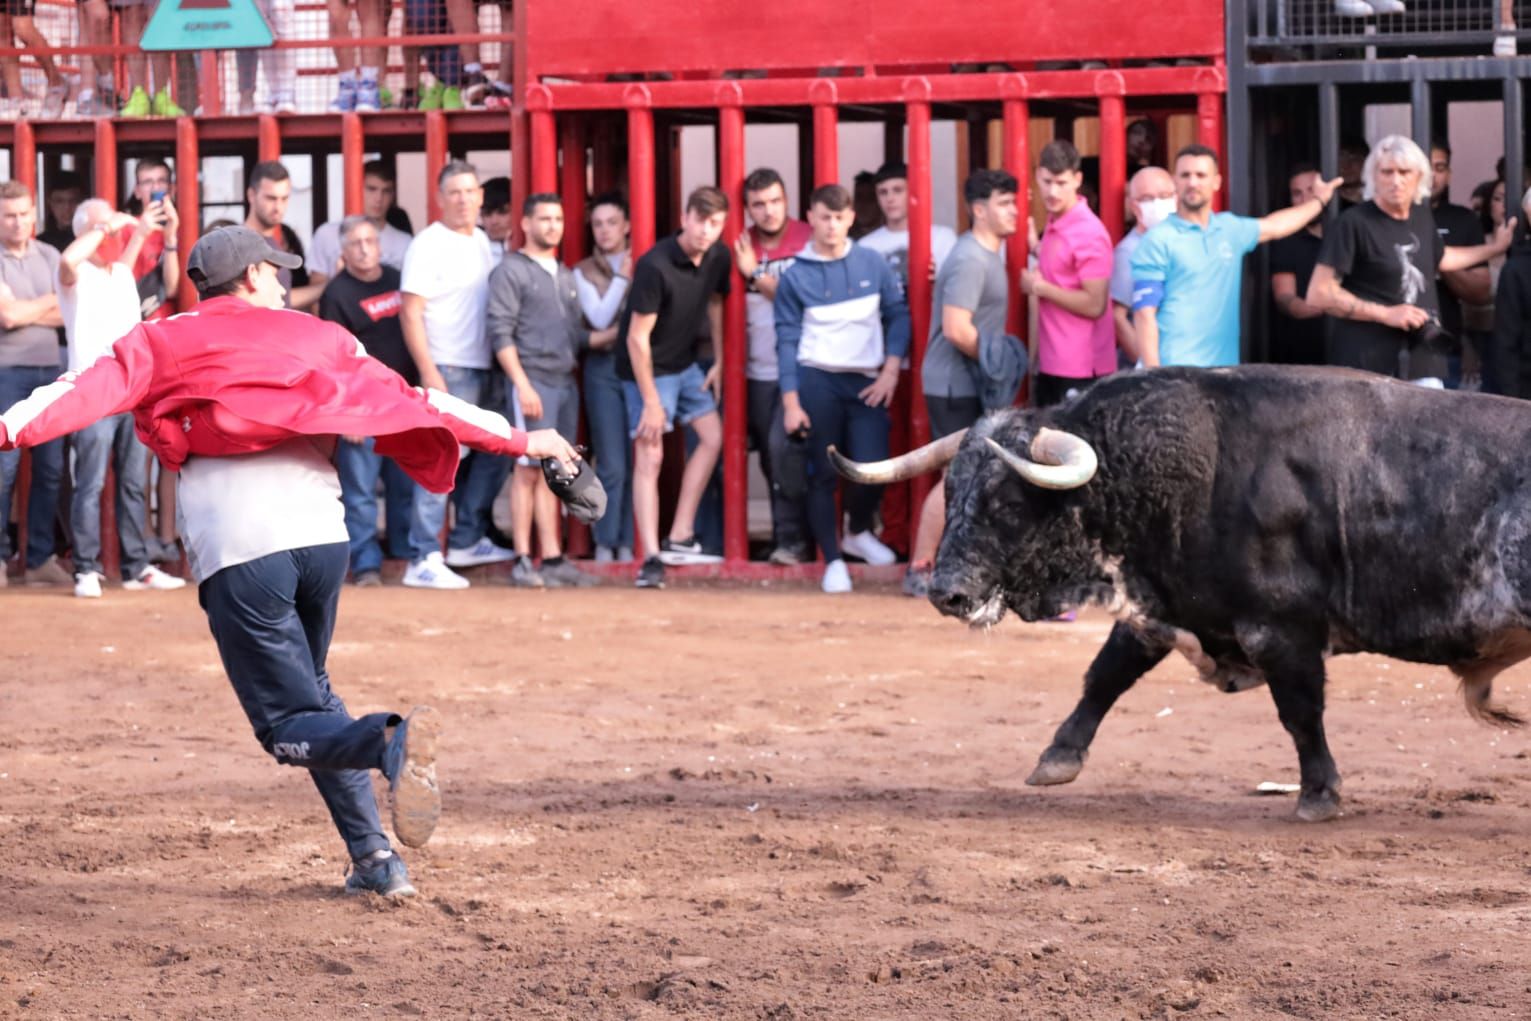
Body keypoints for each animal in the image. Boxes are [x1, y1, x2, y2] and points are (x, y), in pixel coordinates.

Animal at [832, 367, 1524, 820]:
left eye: (1005, 503)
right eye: (950, 494)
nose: (944, 592)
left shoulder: (1281, 631)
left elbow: (1300, 713)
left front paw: (1318, 795)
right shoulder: (1159, 607)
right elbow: (1105, 676)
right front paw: (1058, 758)